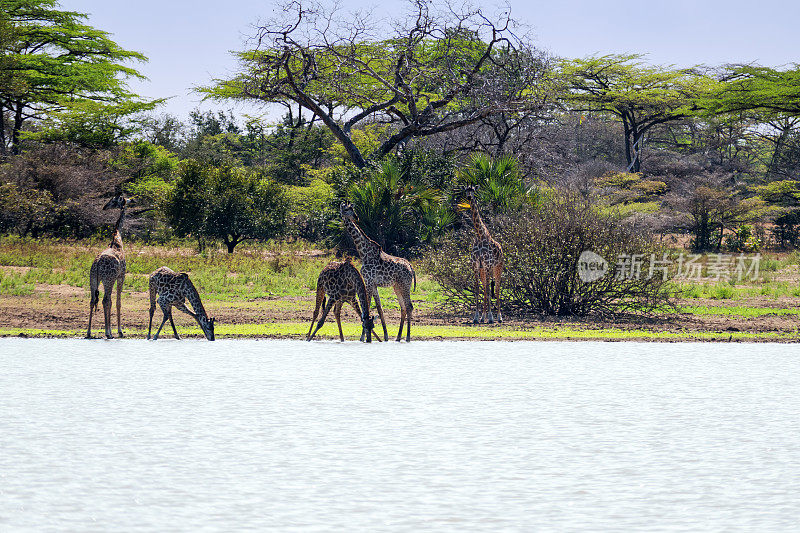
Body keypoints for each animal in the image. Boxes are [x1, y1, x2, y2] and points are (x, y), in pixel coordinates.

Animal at [86, 194, 127, 336]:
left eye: (112, 201)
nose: (104, 207)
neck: (117, 240)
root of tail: (98, 263)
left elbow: (111, 301)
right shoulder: (121, 276)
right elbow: (118, 302)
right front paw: (119, 331)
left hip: (93, 278)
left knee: (93, 300)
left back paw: (89, 332)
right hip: (108, 279)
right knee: (105, 300)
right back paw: (108, 333)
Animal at [338, 202, 416, 342]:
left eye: (352, 209)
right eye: (346, 209)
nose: (356, 217)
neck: (364, 253)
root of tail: (410, 267)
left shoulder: (368, 282)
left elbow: (367, 307)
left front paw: (362, 338)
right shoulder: (373, 284)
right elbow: (379, 309)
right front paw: (385, 337)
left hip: (405, 285)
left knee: (409, 307)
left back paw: (407, 337)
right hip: (397, 286)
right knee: (403, 307)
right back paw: (398, 337)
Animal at [460, 185, 504, 322]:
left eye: (473, 190)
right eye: (466, 190)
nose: (469, 197)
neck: (480, 236)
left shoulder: (488, 264)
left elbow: (489, 290)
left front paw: (490, 317)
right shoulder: (476, 265)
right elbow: (477, 289)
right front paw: (476, 317)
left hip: (498, 267)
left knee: (497, 288)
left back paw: (499, 317)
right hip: (483, 269)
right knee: (485, 288)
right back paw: (482, 317)